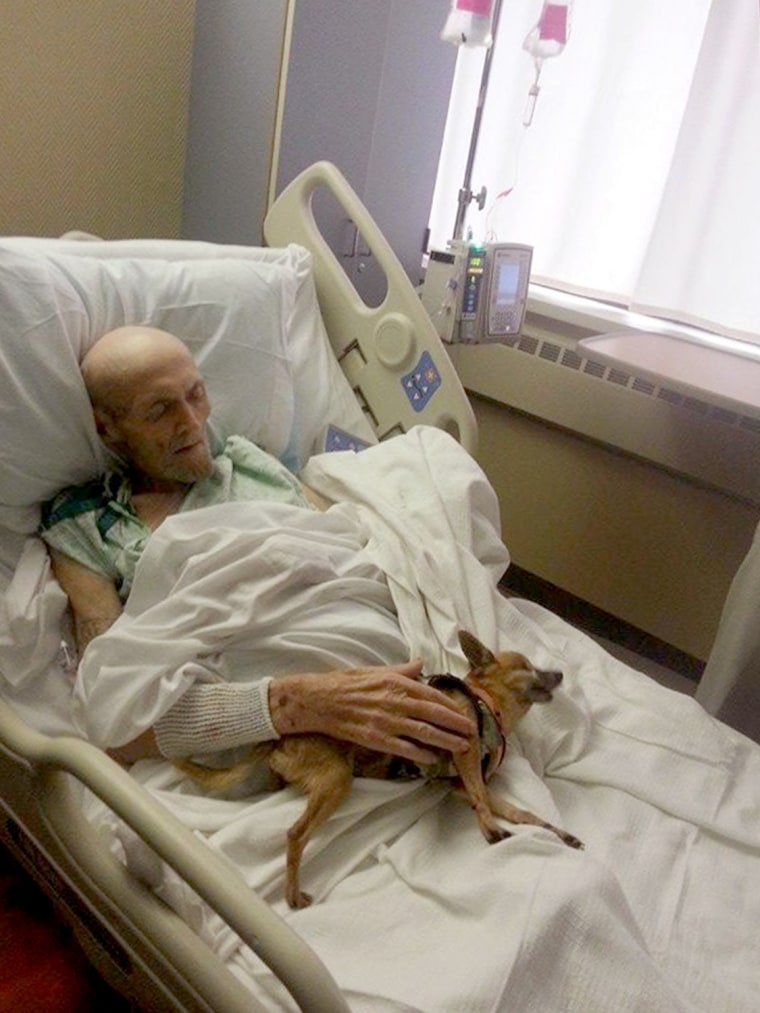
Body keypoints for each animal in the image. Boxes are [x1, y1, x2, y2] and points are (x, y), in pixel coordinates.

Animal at [178, 628, 583, 907]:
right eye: (528, 667)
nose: (562, 675)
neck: (488, 707)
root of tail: (277, 739)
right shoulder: (465, 753)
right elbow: (482, 799)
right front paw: (490, 829)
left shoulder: (462, 784)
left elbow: (523, 813)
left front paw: (561, 834)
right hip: (337, 780)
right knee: (295, 834)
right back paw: (293, 893)